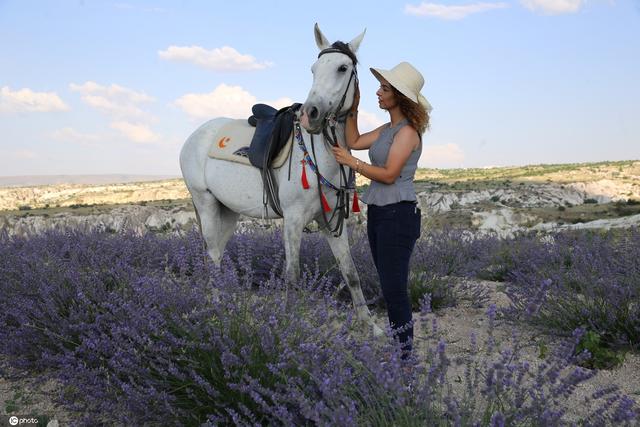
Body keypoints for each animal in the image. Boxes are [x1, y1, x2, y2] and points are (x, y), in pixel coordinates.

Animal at [179, 24, 380, 338]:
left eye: (342, 67)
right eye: (314, 69)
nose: (311, 114)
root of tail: (194, 136)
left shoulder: (332, 222)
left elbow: (351, 272)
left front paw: (370, 325)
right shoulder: (293, 220)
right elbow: (293, 275)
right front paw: (289, 323)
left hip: (228, 212)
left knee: (216, 254)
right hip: (206, 204)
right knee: (211, 256)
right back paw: (217, 310)